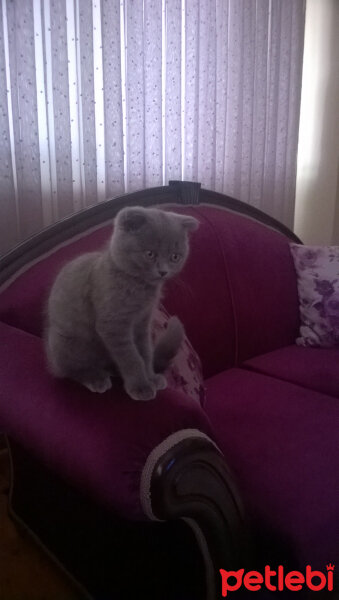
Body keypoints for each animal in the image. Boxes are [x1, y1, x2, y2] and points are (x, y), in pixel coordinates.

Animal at [45, 205, 199, 398]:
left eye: (175, 257)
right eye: (150, 254)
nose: (163, 271)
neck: (140, 288)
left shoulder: (143, 322)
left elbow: (145, 352)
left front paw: (151, 378)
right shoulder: (113, 324)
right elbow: (131, 357)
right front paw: (141, 387)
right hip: (65, 343)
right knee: (70, 370)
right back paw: (96, 378)